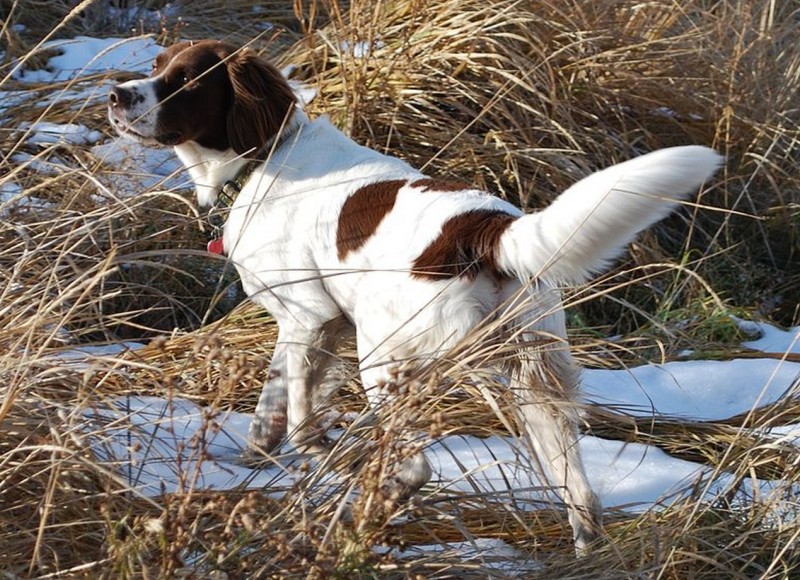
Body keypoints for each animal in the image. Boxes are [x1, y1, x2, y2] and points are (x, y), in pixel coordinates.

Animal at [108, 38, 724, 552]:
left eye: (188, 80)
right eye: (158, 65)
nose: (116, 95)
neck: (264, 158)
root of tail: (488, 230)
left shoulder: (308, 316)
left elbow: (296, 415)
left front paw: (315, 454)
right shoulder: (323, 324)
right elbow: (277, 413)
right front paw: (253, 463)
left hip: (385, 357)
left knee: (413, 469)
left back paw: (359, 515)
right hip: (536, 379)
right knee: (581, 495)